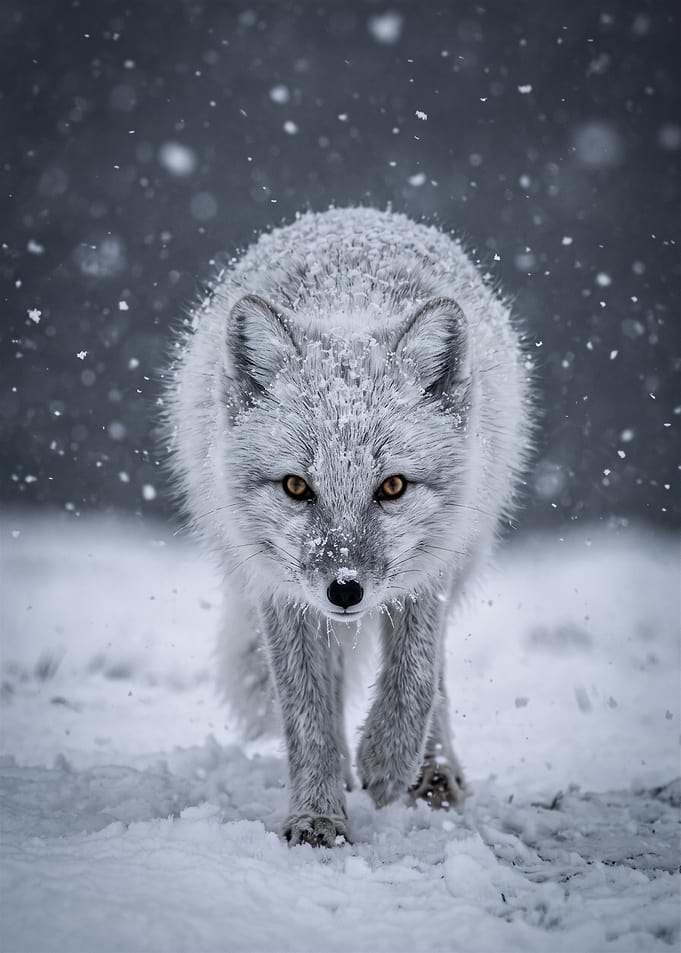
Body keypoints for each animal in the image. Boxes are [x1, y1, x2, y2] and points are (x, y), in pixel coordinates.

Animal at [165, 207, 533, 847]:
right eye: (295, 487)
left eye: (392, 487)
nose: (344, 590)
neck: (349, 300)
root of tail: (356, 214)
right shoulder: (279, 591)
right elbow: (306, 711)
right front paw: (317, 814)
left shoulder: (430, 574)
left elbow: (414, 680)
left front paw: (388, 764)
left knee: (434, 679)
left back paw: (432, 774)